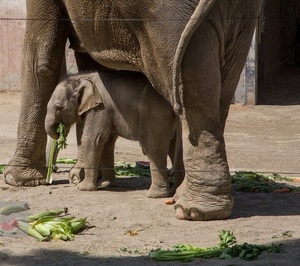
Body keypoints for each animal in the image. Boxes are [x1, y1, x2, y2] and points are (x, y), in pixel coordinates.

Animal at [45, 70, 184, 197]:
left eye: (58, 108)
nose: (59, 132)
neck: (81, 77)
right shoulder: (106, 112)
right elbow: (107, 142)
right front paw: (106, 184)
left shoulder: (99, 108)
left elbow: (93, 139)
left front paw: (83, 188)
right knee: (176, 150)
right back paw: (175, 191)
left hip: (155, 118)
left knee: (153, 149)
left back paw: (154, 195)